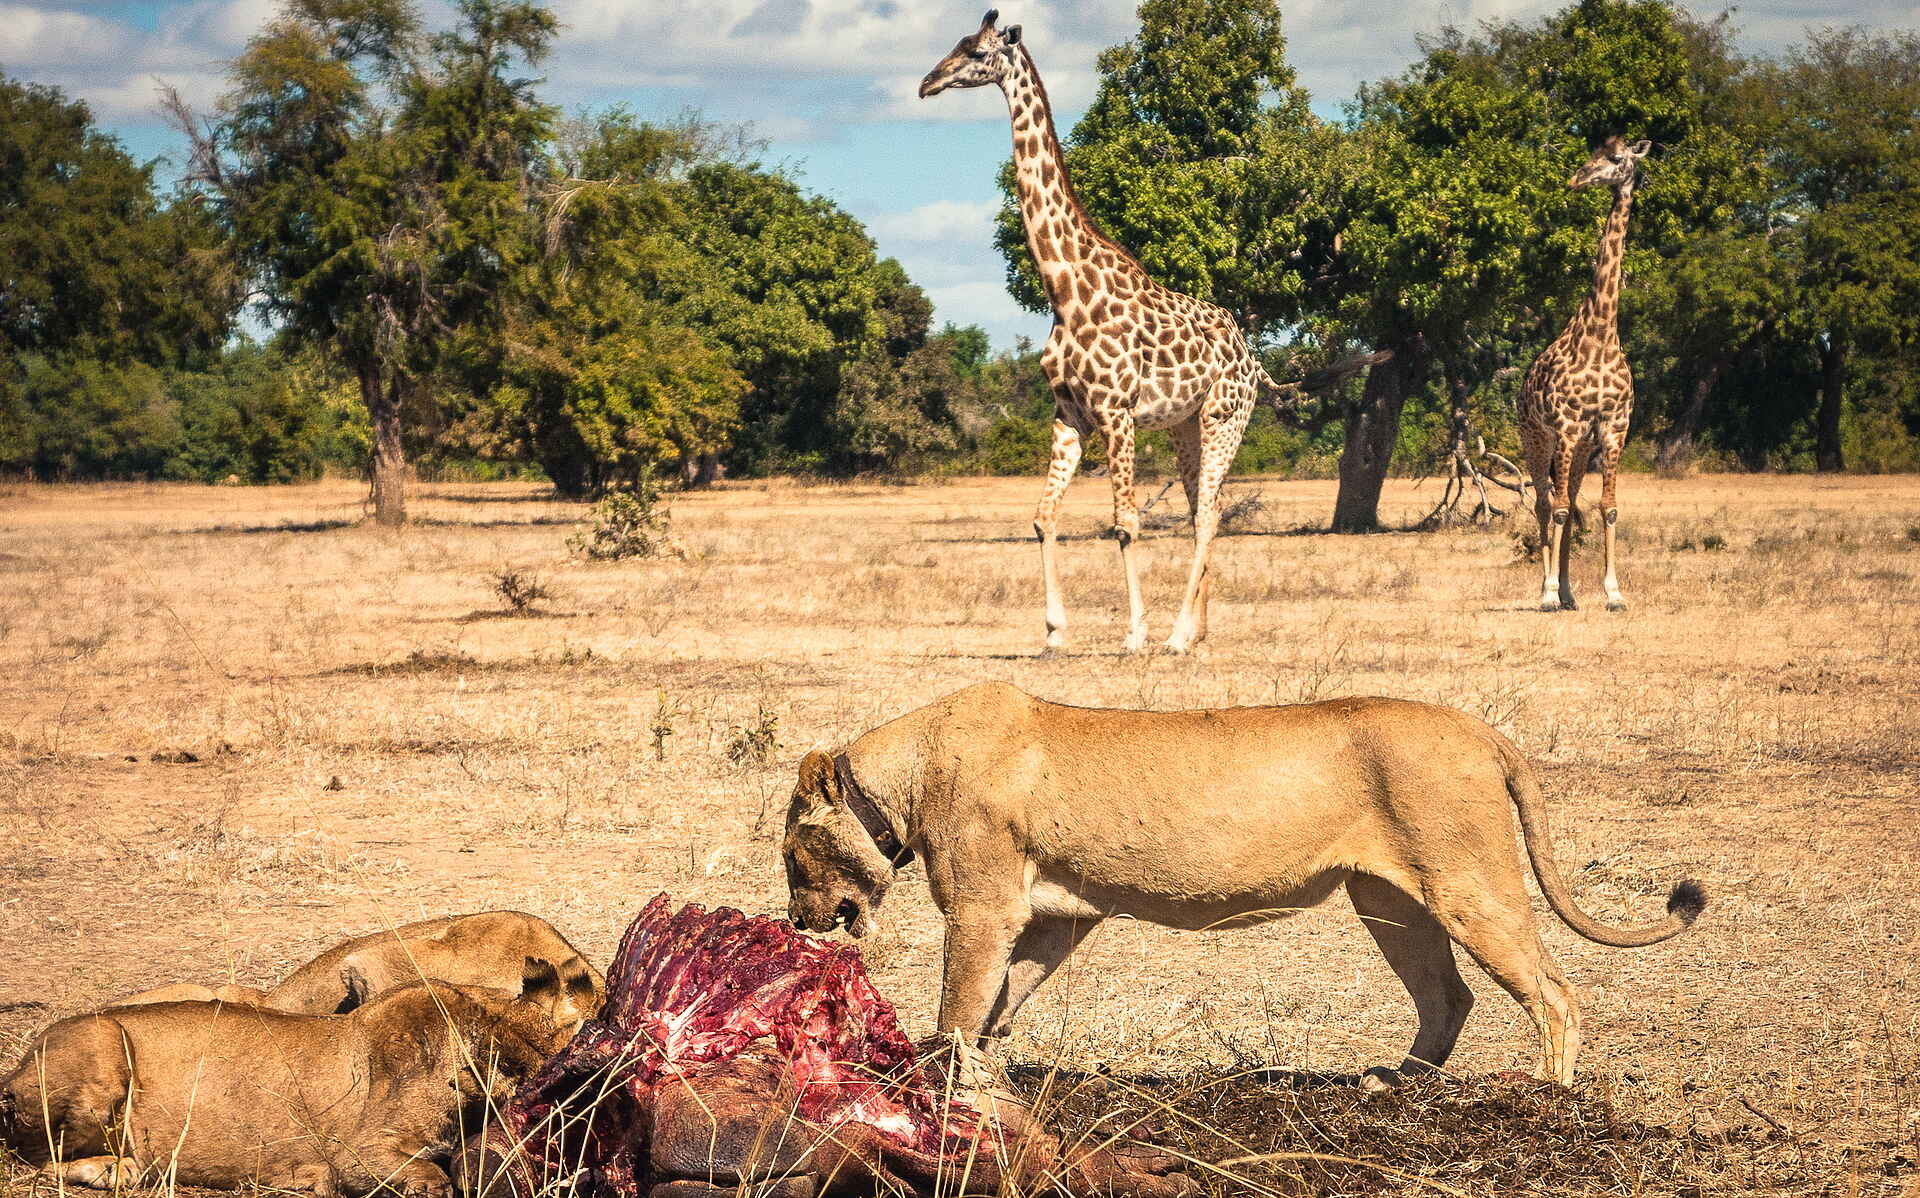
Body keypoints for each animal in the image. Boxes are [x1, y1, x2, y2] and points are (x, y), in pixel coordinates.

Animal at [920, 10, 1284, 654]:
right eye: (955, 44)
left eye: (976, 52)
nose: (926, 82)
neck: (1065, 290)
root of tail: (1250, 355)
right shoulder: (1070, 414)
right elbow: (1043, 517)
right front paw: (1054, 632)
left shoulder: (1117, 412)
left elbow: (1126, 524)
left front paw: (1134, 633)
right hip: (1186, 424)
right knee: (1204, 509)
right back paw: (1199, 633)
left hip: (1226, 417)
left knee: (1209, 514)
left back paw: (1176, 635)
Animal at [1518, 136, 1650, 613]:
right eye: (1593, 152)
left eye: (1615, 158)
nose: (1577, 179)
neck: (1601, 337)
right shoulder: (1568, 427)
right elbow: (1557, 510)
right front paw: (1548, 593)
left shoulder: (1613, 428)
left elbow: (1607, 507)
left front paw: (1613, 593)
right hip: (1537, 438)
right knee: (1544, 504)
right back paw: (1548, 591)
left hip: (1577, 451)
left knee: (1570, 501)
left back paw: (1570, 592)